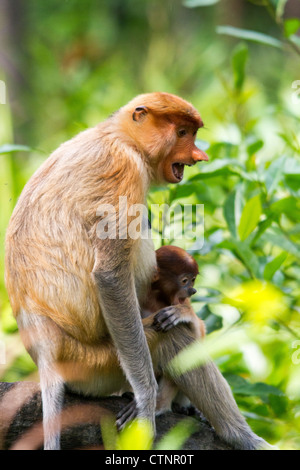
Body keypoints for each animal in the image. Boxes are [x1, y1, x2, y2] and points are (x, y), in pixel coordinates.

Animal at [4, 92, 268, 452]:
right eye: (182, 133)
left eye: (192, 133)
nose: (199, 156)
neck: (119, 135)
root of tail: (45, 347)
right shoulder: (123, 169)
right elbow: (110, 277)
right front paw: (146, 400)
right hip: (92, 364)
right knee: (173, 339)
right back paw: (238, 435)